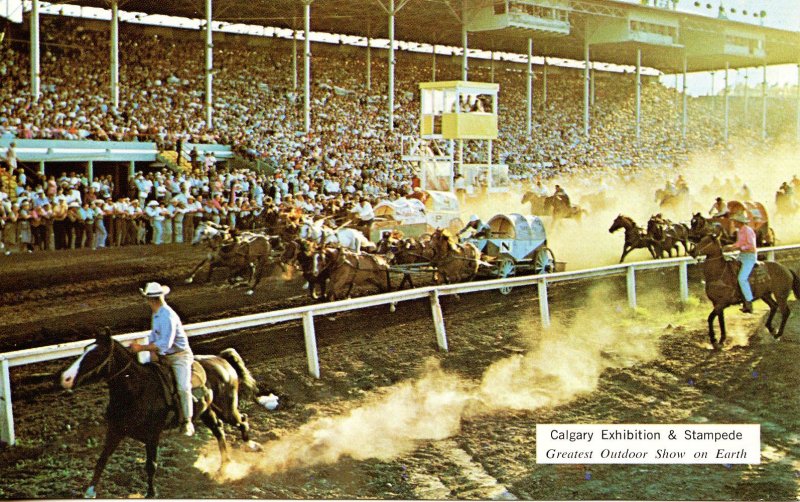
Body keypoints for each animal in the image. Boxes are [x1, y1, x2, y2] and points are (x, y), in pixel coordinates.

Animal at [60, 328, 260, 496]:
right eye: (85, 349)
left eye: (97, 353)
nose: (65, 378)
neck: (137, 390)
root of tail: (221, 359)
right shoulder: (115, 431)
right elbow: (102, 459)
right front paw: (90, 491)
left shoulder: (152, 435)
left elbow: (151, 465)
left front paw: (150, 493)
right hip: (207, 411)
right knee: (219, 430)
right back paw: (224, 466)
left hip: (227, 408)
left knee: (242, 420)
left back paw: (250, 446)